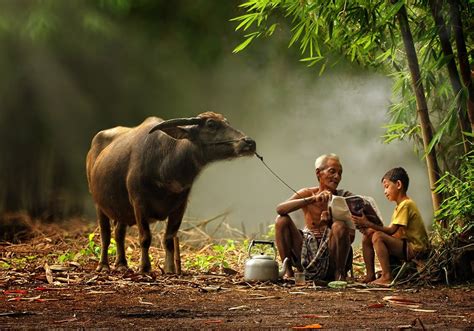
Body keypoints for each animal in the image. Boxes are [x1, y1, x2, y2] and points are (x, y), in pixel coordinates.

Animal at [85, 113, 256, 274]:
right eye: (211, 124)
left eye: (227, 122)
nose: (249, 142)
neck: (165, 165)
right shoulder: (139, 203)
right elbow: (145, 237)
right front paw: (145, 267)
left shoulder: (180, 206)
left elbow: (168, 238)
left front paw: (170, 269)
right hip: (98, 203)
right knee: (106, 234)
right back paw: (103, 265)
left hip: (121, 209)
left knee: (119, 232)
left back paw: (121, 264)